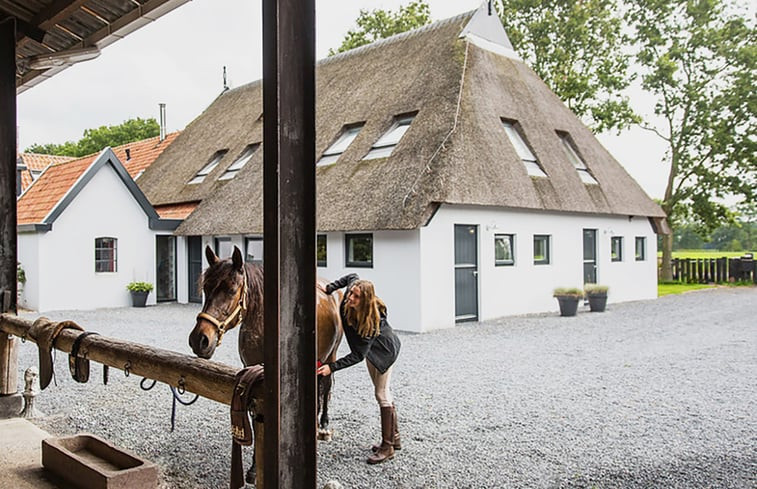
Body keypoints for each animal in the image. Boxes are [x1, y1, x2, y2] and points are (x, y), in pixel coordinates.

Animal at [189, 243, 342, 476]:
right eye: (206, 288)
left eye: (231, 290)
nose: (200, 340)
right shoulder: (252, 374)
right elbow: (255, 416)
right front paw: (254, 467)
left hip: (329, 356)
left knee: (326, 386)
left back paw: (323, 425)